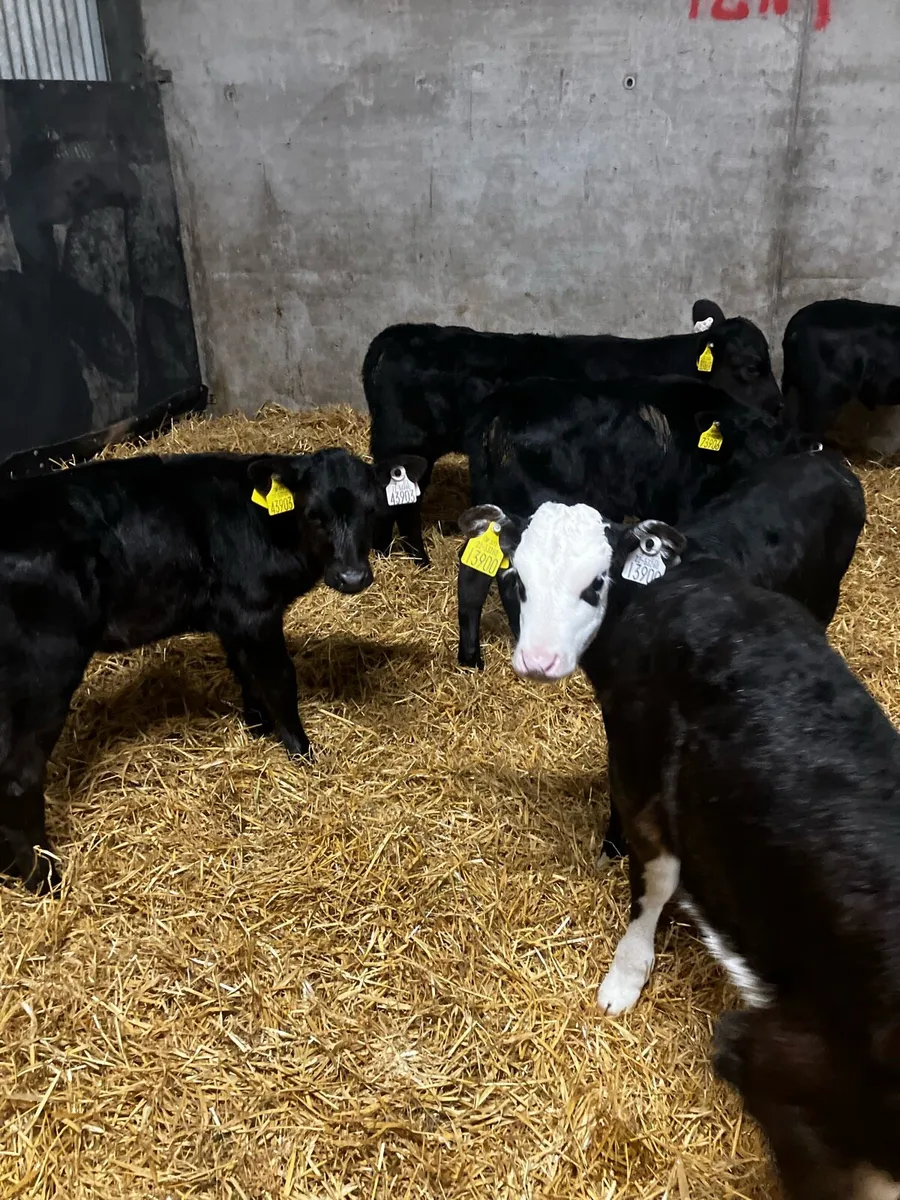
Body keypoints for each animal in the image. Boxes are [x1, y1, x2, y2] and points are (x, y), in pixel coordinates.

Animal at [0, 446, 412, 894]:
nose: (352, 577)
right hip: (45, 669)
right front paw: (302, 752)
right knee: (19, 776)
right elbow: (279, 680)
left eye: (372, 510)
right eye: (313, 513)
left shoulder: (232, 617)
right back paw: (45, 879)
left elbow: (246, 672)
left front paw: (257, 728)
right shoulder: (254, 611)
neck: (269, 527)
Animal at [364, 300, 782, 565]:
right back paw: (417, 559)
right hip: (408, 444)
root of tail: (396, 335)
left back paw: (386, 553)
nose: (778, 407)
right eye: (751, 367)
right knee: (406, 504)